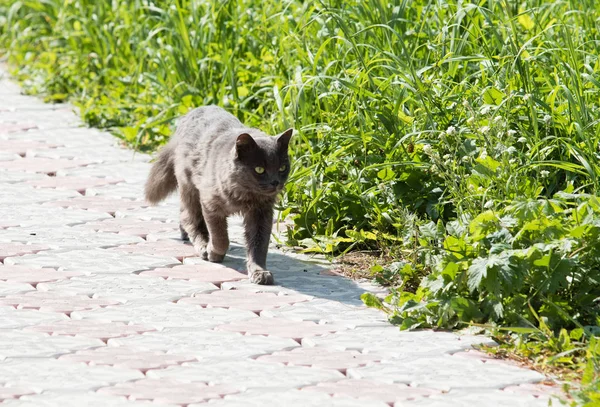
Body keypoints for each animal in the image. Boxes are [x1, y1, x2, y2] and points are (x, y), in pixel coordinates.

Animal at [146, 105, 294, 286]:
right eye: (259, 169)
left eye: (282, 168)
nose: (275, 182)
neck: (245, 196)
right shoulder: (210, 204)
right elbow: (221, 237)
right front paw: (214, 253)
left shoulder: (261, 214)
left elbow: (259, 245)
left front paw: (259, 272)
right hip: (189, 186)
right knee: (190, 218)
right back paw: (202, 245)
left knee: (183, 214)